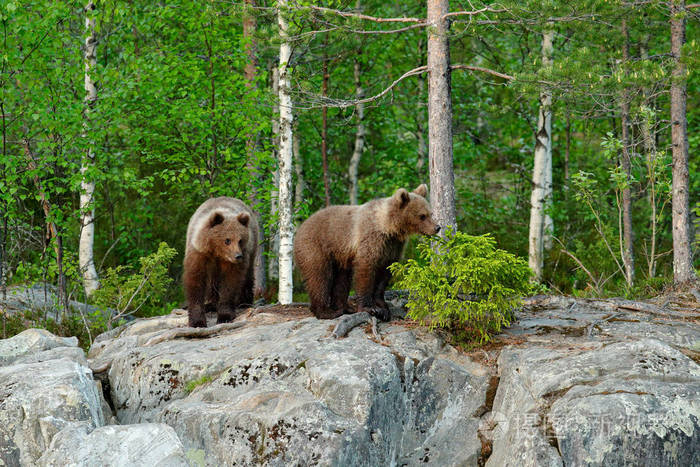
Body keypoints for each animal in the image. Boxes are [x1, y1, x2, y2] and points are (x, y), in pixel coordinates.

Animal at [183, 197, 260, 330]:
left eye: (240, 240)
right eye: (227, 240)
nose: (238, 256)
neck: (217, 252)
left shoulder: (232, 263)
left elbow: (230, 282)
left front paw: (225, 316)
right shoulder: (199, 254)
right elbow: (195, 281)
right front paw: (197, 321)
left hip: (252, 248)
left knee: (248, 275)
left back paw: (244, 302)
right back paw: (211, 305)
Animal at [294, 185, 438, 324]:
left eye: (430, 213)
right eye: (422, 215)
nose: (437, 227)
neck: (388, 227)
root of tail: (301, 226)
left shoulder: (393, 246)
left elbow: (384, 275)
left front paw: (383, 308)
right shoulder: (371, 238)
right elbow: (366, 269)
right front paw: (370, 308)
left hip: (340, 256)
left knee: (342, 279)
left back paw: (344, 308)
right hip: (316, 247)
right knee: (320, 277)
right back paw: (326, 312)